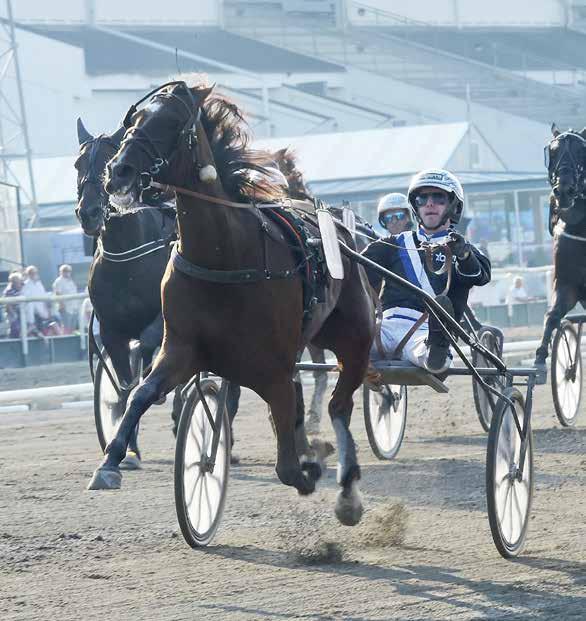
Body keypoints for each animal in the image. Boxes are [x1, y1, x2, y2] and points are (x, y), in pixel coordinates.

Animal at [75, 120, 176, 464]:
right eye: (78, 164)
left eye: (111, 163)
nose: (89, 212)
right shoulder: (110, 330)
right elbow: (123, 386)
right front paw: (125, 445)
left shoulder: (165, 318)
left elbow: (146, 345)